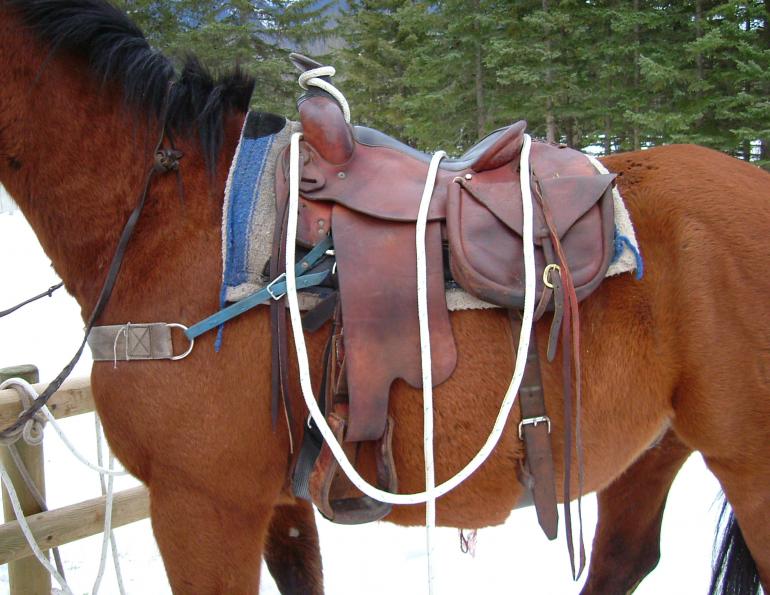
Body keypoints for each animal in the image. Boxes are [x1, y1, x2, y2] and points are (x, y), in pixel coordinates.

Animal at [1, 1, 767, 593]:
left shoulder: (202, 505)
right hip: (656, 446)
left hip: (746, 463)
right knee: (624, 558)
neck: (173, 225)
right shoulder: (275, 503)